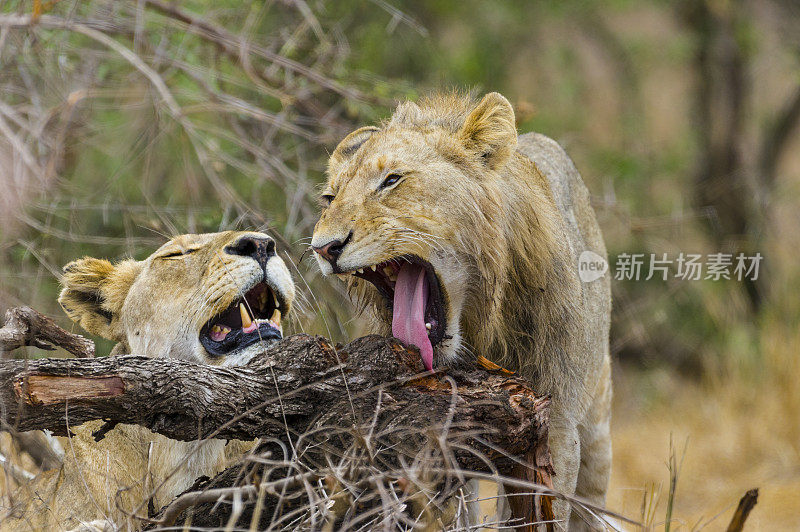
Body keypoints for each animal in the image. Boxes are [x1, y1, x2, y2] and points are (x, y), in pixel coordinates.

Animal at [312, 93, 612, 528]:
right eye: (330, 198)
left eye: (391, 180)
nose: (323, 248)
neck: (482, 325)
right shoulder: (437, 434)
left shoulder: (554, 423)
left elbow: (545, 512)